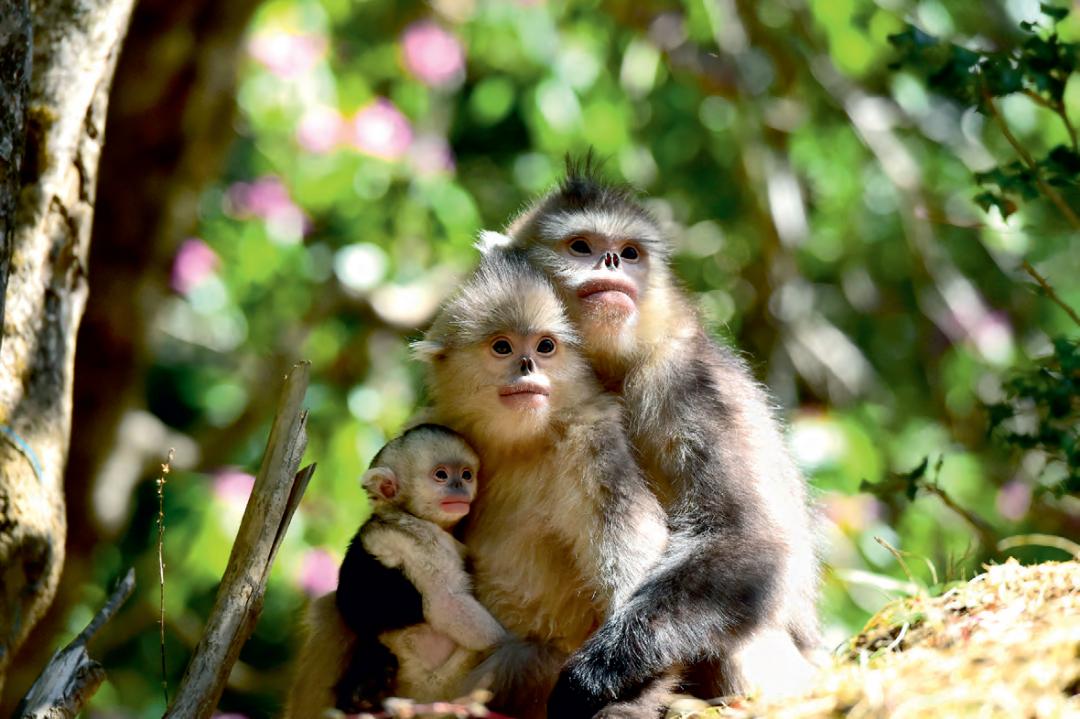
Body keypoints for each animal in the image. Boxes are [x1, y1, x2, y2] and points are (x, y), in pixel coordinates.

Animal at [285, 423, 507, 712]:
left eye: (467, 475)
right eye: (441, 475)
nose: (460, 488)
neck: (405, 513)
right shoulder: (422, 540)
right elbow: (444, 603)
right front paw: (509, 644)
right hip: (434, 683)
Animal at [494, 158, 820, 716]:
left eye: (629, 253)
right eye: (580, 246)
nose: (610, 261)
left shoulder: (685, 381)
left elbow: (750, 538)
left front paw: (592, 676)